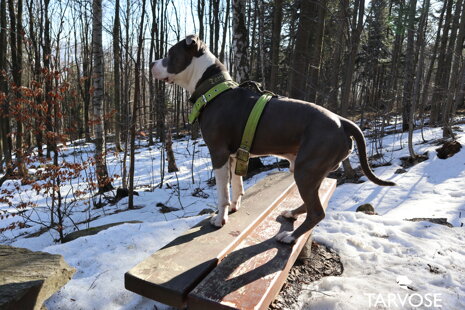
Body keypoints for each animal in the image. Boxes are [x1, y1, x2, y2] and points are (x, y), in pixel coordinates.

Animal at [150, 35, 394, 245]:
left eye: (170, 53)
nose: (151, 63)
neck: (214, 89)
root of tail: (343, 122)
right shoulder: (233, 154)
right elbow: (236, 184)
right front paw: (235, 205)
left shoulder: (218, 153)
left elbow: (222, 193)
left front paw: (220, 219)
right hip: (310, 170)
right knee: (309, 204)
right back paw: (291, 213)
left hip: (306, 170)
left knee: (317, 211)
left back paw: (291, 237)